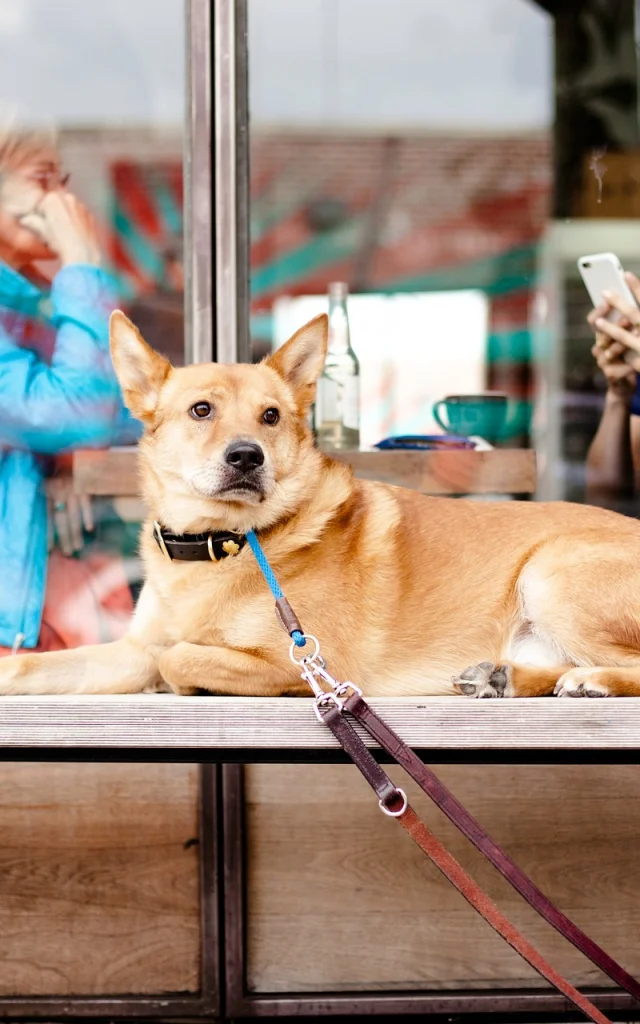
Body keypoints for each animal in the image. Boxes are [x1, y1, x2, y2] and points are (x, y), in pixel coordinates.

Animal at [3, 307, 638, 700]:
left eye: (271, 416)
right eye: (201, 410)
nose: (246, 456)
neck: (220, 546)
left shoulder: (311, 664)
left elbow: (179, 656)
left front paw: (185, 680)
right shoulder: (132, 647)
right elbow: (45, 663)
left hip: (550, 571)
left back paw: (591, 679)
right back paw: (503, 677)